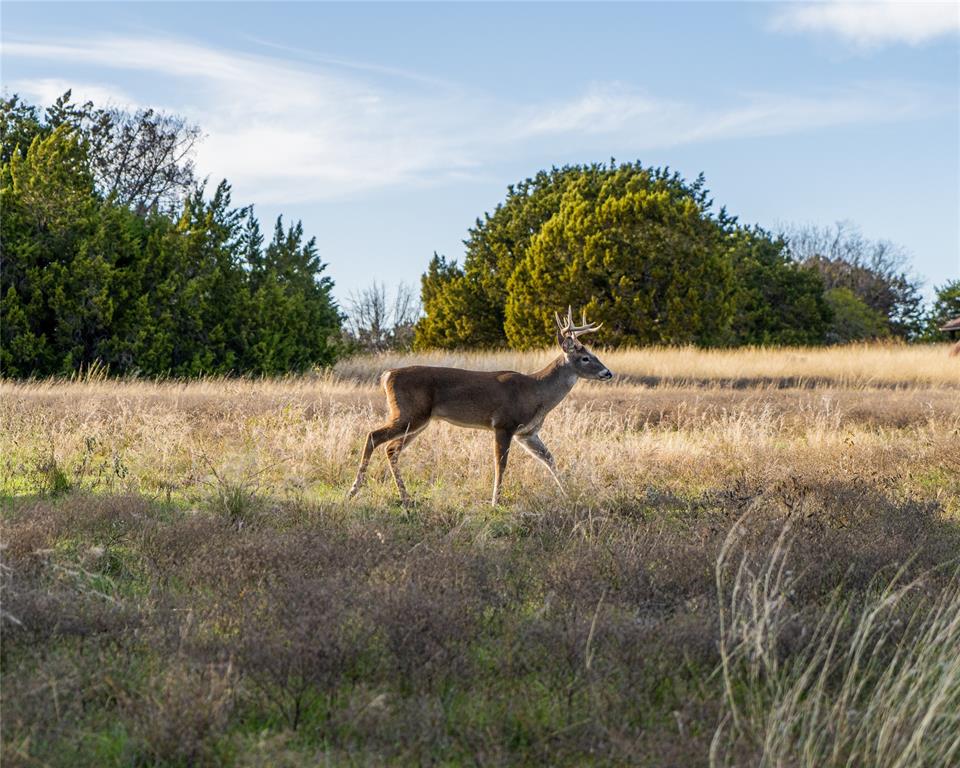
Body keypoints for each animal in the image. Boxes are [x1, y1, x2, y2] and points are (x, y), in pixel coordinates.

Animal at [346, 306, 616, 504]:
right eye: (585, 358)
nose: (608, 372)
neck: (536, 391)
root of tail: (387, 375)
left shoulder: (527, 433)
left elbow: (550, 459)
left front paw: (567, 492)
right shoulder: (504, 423)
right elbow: (501, 463)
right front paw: (495, 501)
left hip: (418, 420)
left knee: (391, 448)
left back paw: (405, 498)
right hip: (409, 413)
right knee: (374, 436)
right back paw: (354, 490)